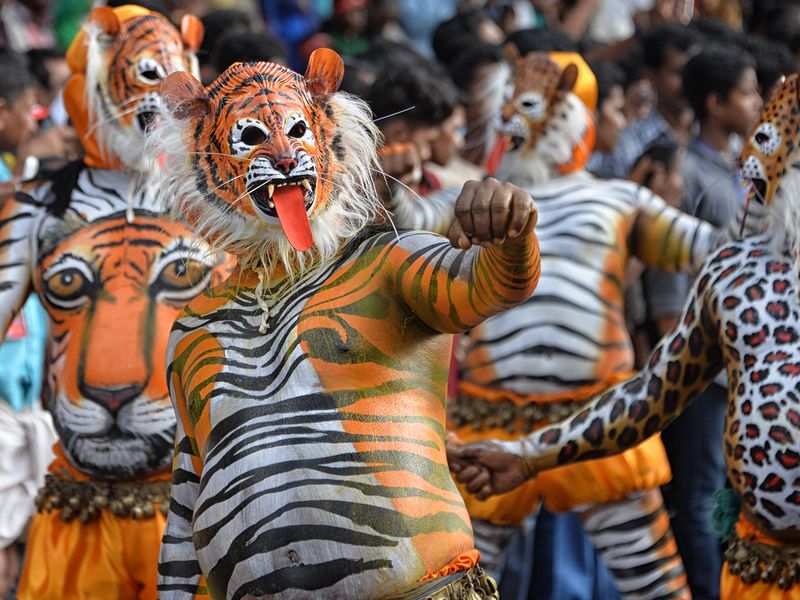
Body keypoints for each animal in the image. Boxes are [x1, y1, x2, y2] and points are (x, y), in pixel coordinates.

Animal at [149, 49, 541, 599]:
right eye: (251, 135)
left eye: (298, 128)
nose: (287, 161)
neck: (279, 265)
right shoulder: (179, 347)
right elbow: (186, 489)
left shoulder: (404, 258)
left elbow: (475, 287)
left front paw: (497, 211)